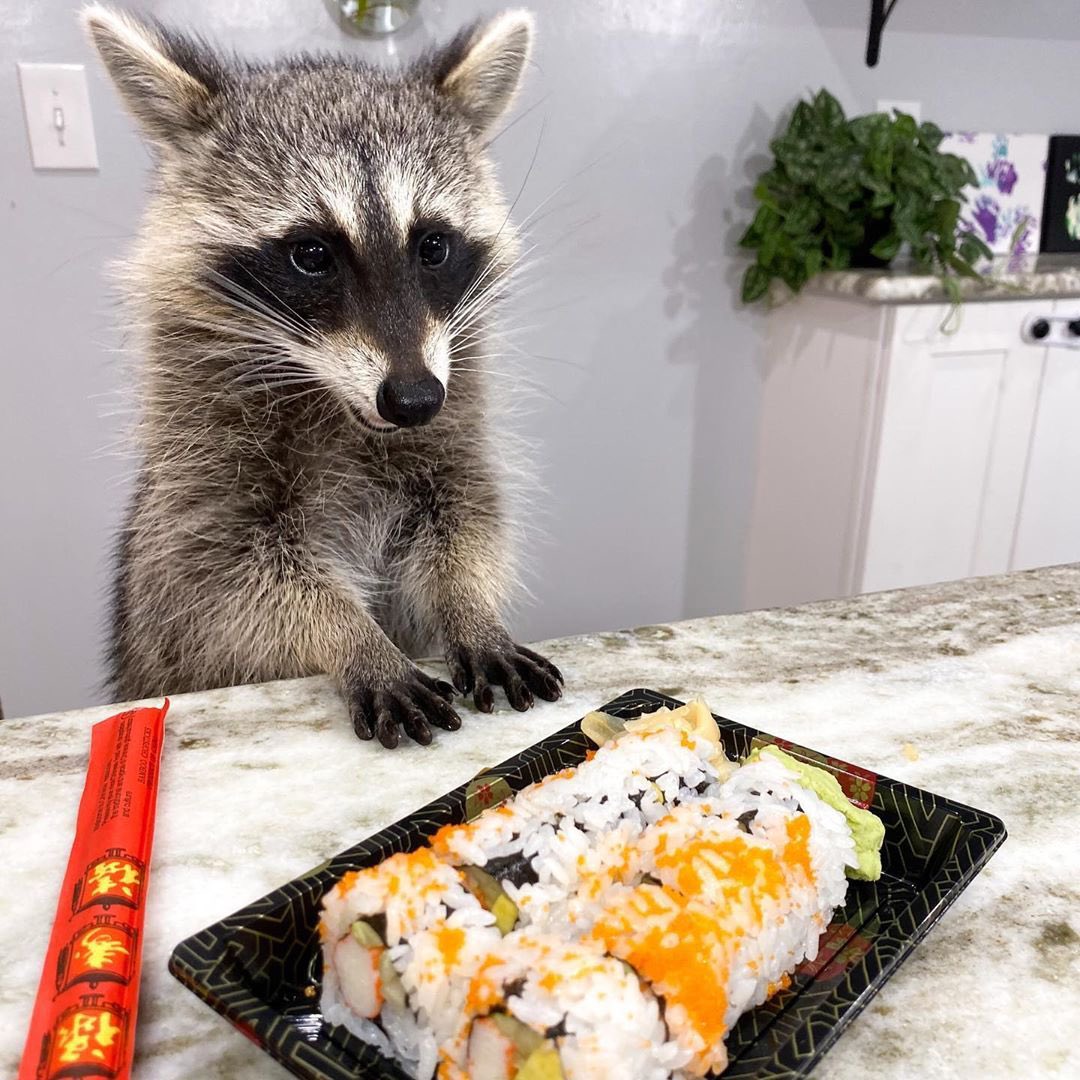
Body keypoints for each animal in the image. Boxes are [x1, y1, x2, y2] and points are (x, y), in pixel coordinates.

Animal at [83, 4, 562, 747]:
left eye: (432, 246)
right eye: (311, 254)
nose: (414, 399)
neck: (337, 401)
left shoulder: (453, 424)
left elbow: (465, 521)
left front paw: (470, 608)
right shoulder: (198, 483)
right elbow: (232, 583)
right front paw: (352, 638)